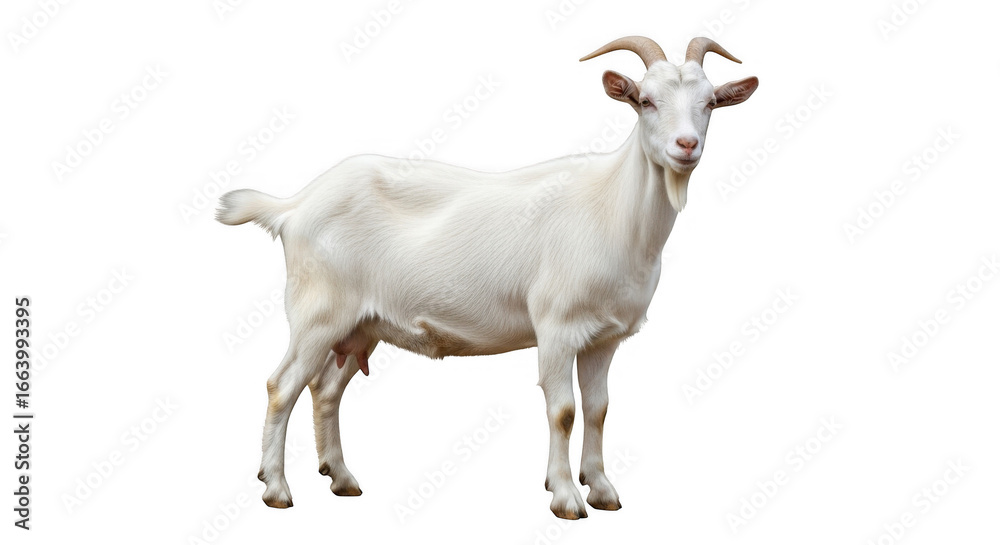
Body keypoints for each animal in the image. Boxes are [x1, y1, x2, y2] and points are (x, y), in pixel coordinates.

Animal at [217, 35, 757, 519]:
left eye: (710, 102)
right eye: (645, 100)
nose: (686, 146)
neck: (612, 209)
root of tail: (294, 206)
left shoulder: (605, 338)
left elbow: (599, 409)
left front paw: (603, 490)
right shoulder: (557, 328)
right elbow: (563, 411)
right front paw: (566, 497)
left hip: (361, 325)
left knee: (326, 389)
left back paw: (342, 478)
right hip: (318, 313)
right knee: (283, 385)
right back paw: (276, 489)